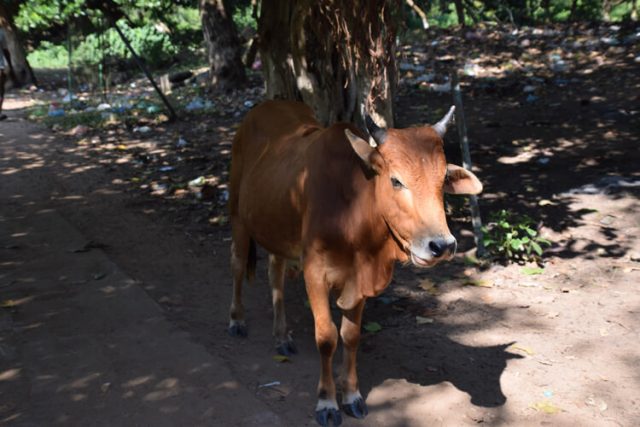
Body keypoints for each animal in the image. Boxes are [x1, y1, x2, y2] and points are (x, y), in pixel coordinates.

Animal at [227, 100, 482, 426]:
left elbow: (350, 336)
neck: (352, 215)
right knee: (237, 263)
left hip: (276, 228)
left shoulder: (358, 283)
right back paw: (237, 320)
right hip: (238, 215)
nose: (442, 246)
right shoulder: (315, 273)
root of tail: (264, 106)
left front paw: (351, 396)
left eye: (441, 182)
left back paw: (281, 336)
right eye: (396, 180)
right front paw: (327, 402)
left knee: (276, 274)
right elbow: (326, 337)